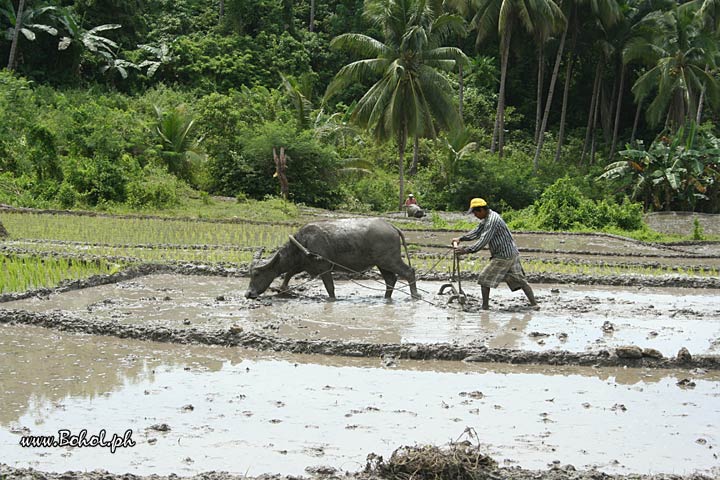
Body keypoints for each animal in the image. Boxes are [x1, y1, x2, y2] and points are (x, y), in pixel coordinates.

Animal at [246, 218, 420, 300]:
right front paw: (283, 289)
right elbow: (289, 273)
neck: (303, 243)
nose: (248, 294)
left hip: (390, 260)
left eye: (256, 274)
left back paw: (415, 295)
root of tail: (392, 227)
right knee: (391, 279)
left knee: (409, 272)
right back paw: (386, 298)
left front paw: (332, 299)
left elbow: (330, 288)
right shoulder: (303, 264)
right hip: (382, 263)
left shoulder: (324, 268)